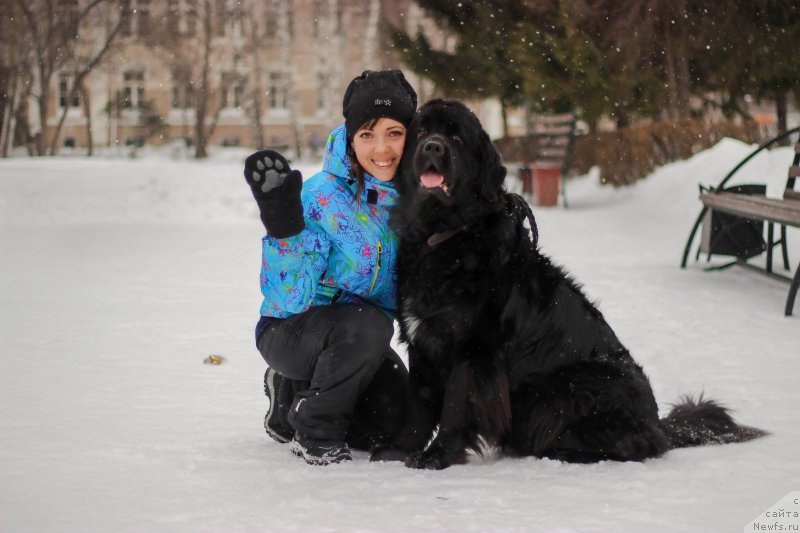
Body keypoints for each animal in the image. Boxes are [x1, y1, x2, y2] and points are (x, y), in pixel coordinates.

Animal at [372, 97, 764, 468]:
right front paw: (399, 448)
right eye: (421, 133)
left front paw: (438, 456)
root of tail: (657, 422)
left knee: (637, 444)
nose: (433, 148)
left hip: (565, 391)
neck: (445, 238)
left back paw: (563, 453)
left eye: (456, 138)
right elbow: (420, 404)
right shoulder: (421, 341)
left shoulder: (472, 349)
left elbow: (456, 406)